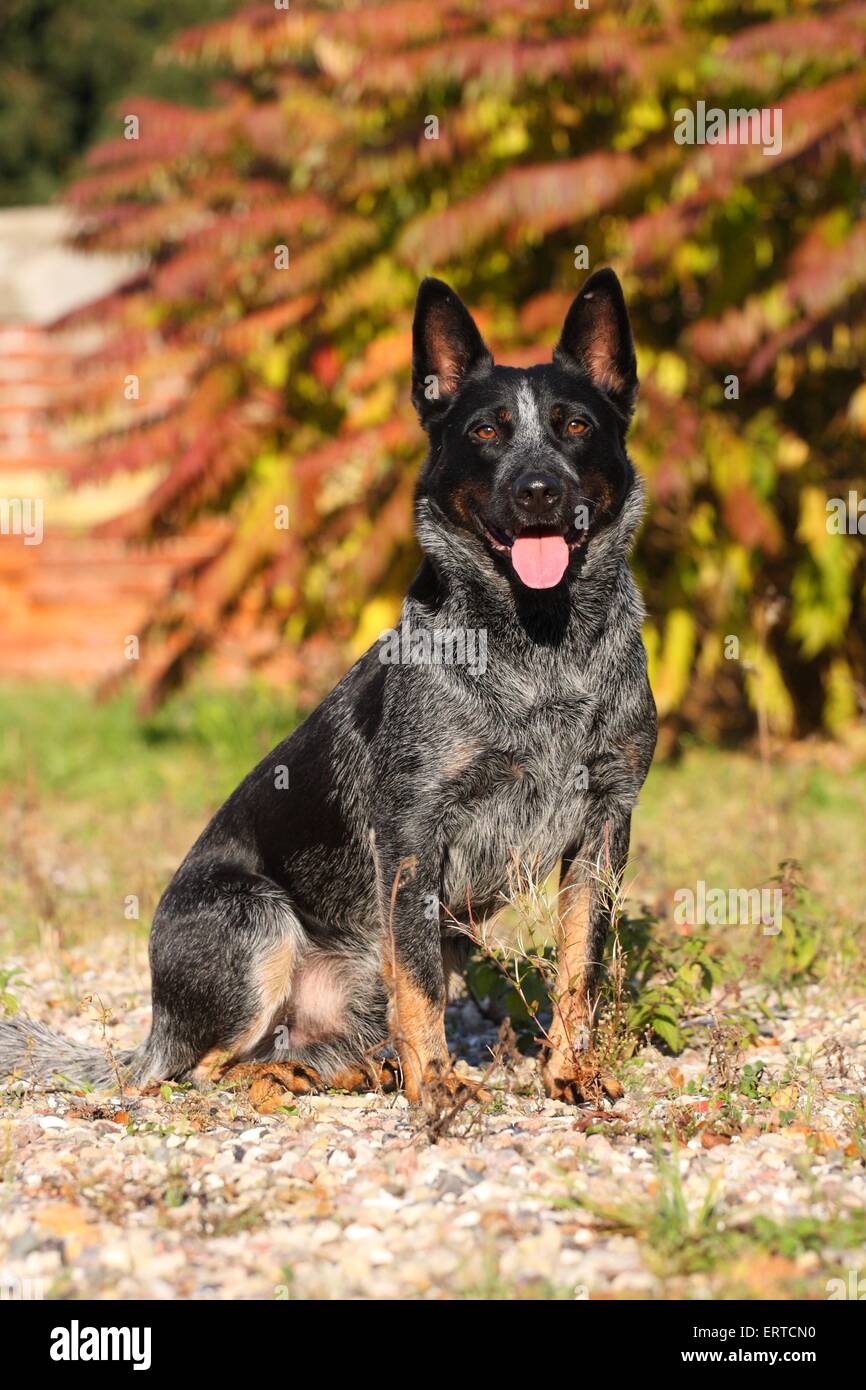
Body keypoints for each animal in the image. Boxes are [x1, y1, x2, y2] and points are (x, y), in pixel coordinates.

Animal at [0, 265, 656, 1100]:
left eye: (575, 426)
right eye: (486, 432)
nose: (538, 490)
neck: (540, 649)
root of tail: (151, 1033)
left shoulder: (606, 823)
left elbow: (582, 964)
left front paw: (569, 1072)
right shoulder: (412, 836)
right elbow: (416, 979)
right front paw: (438, 1087)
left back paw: (359, 1069)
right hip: (256, 918)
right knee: (204, 1068)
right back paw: (282, 1078)